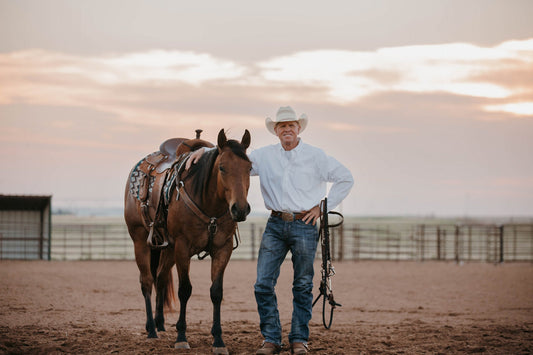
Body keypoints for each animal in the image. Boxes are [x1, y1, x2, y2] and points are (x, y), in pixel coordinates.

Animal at [123, 129, 250, 354]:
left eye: (250, 168)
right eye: (222, 167)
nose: (240, 209)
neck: (209, 204)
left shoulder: (222, 249)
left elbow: (216, 292)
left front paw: (218, 340)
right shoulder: (183, 248)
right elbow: (184, 290)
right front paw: (181, 337)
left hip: (168, 249)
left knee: (161, 278)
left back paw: (160, 324)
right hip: (140, 240)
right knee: (147, 281)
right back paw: (151, 330)